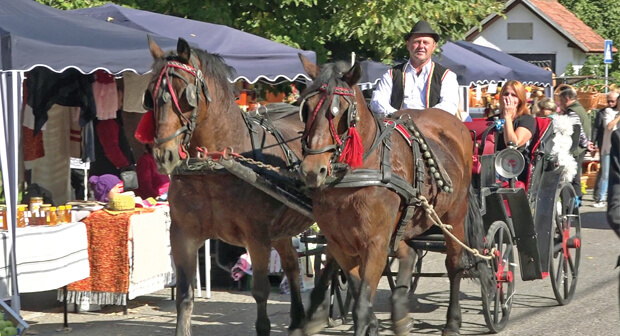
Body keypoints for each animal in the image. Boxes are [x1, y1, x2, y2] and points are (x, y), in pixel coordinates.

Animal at [144, 37, 314, 336]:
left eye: (185, 95)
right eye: (150, 95)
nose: (164, 155)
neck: (214, 169)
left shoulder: (257, 237)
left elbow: (260, 292)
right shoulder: (182, 235)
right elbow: (184, 297)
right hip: (281, 229)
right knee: (292, 265)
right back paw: (297, 319)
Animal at [296, 56, 494, 334]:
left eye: (340, 111)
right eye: (306, 108)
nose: (312, 170)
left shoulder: (375, 243)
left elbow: (361, 306)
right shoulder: (339, 243)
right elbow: (358, 292)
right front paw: (373, 324)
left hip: (454, 216)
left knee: (455, 265)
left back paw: (452, 322)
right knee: (409, 253)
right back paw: (400, 311)